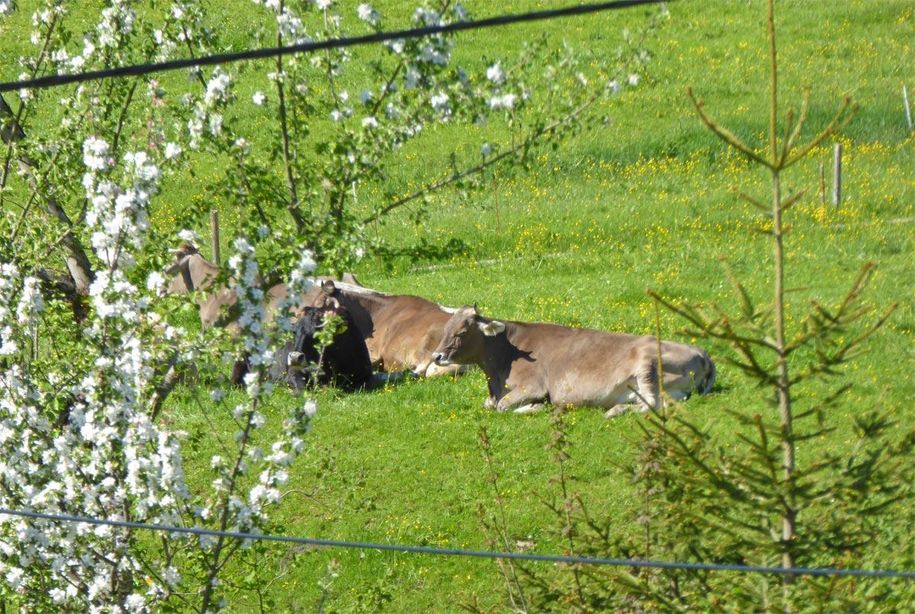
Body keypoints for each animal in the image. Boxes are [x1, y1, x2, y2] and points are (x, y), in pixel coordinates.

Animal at [432, 304, 720, 416]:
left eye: (461, 332)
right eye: (445, 327)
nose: (436, 356)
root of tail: (703, 353)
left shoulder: (532, 386)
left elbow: (503, 406)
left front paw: (537, 407)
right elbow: (491, 405)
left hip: (647, 364)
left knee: (652, 404)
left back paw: (613, 411)